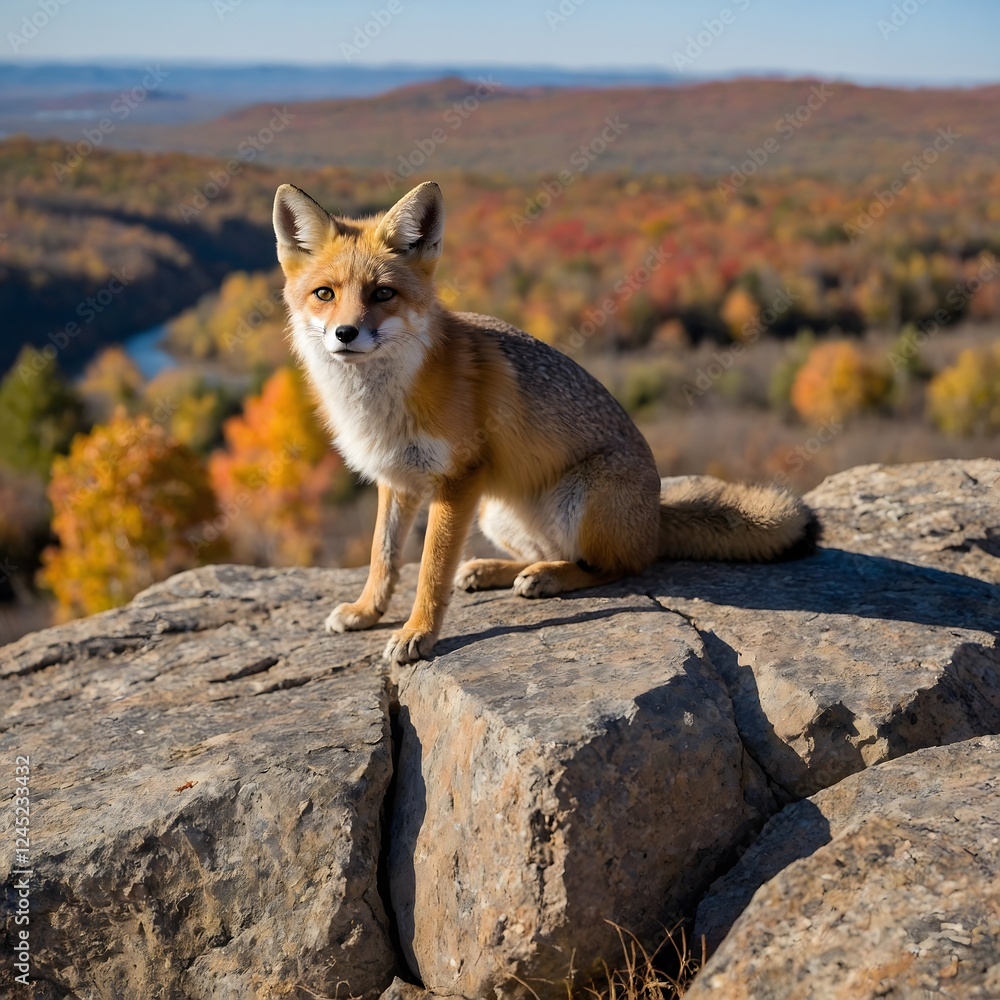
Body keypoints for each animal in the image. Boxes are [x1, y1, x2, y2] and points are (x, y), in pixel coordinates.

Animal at [272, 180, 815, 665]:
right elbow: (382, 557)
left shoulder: (457, 478)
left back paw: (551, 576)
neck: (380, 405)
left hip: (578, 499)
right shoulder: (398, 480)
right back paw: (497, 569)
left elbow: (429, 568)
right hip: (496, 509)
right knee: (544, 553)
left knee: (618, 567)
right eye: (325, 294)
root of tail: (655, 519)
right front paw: (367, 611)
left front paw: (418, 633)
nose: (346, 333)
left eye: (383, 293)